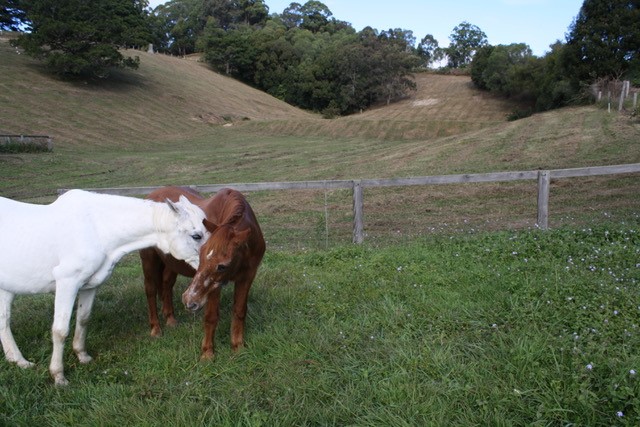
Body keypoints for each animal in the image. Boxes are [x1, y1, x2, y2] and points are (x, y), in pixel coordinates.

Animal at [0, 189, 210, 386]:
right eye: (196, 235)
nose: (213, 264)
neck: (96, 228)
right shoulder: (67, 282)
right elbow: (60, 330)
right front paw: (58, 376)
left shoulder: (89, 286)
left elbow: (83, 319)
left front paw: (82, 356)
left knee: (4, 321)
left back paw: (19, 360)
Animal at [182, 189, 264, 360]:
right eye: (200, 254)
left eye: (222, 266)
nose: (189, 300)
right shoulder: (214, 286)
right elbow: (211, 316)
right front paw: (207, 353)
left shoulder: (247, 277)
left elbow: (239, 310)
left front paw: (238, 346)